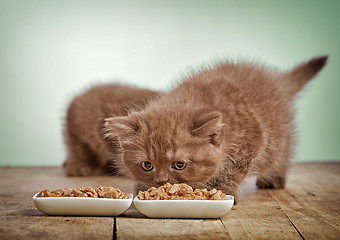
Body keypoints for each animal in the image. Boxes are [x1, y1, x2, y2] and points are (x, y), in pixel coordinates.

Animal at [103, 56, 326, 202]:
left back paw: (274, 179)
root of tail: (277, 80)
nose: (161, 181)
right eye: (147, 165)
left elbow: (233, 172)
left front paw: (223, 191)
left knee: (283, 153)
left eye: (179, 164)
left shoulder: (253, 141)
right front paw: (143, 188)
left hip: (280, 137)